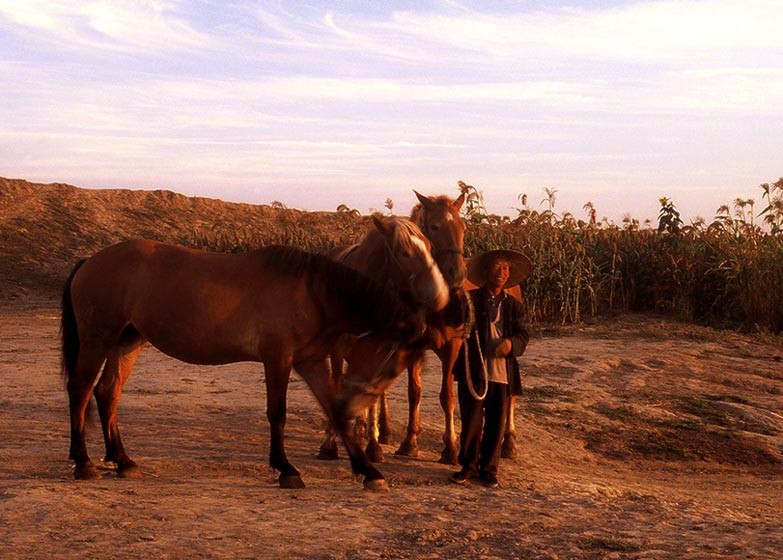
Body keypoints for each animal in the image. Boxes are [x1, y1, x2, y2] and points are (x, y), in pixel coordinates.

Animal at [59, 241, 428, 490]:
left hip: (126, 344)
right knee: (80, 390)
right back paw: (83, 462)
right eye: (392, 364)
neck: (313, 292)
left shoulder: (310, 361)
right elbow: (277, 414)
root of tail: (90, 260)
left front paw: (370, 472)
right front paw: (285, 469)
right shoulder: (278, 358)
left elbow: (335, 415)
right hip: (97, 340)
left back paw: (122, 461)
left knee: (107, 394)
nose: (359, 402)